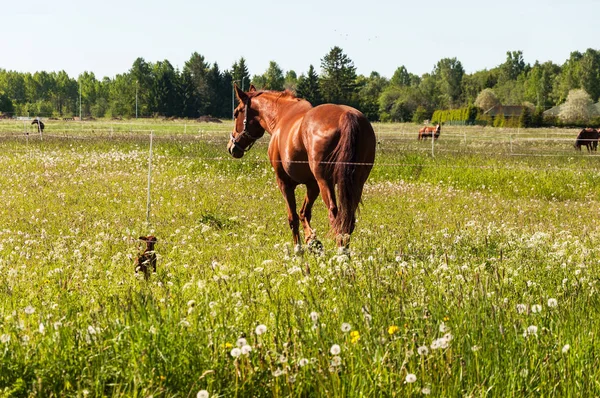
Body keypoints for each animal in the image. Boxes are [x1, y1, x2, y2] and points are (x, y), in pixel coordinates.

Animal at [226, 85, 376, 247]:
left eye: (236, 113)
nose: (231, 147)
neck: (282, 115)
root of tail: (347, 115)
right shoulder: (312, 185)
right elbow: (304, 213)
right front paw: (312, 240)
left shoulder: (284, 183)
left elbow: (293, 218)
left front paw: (299, 247)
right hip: (355, 184)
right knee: (348, 219)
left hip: (326, 183)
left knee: (335, 216)